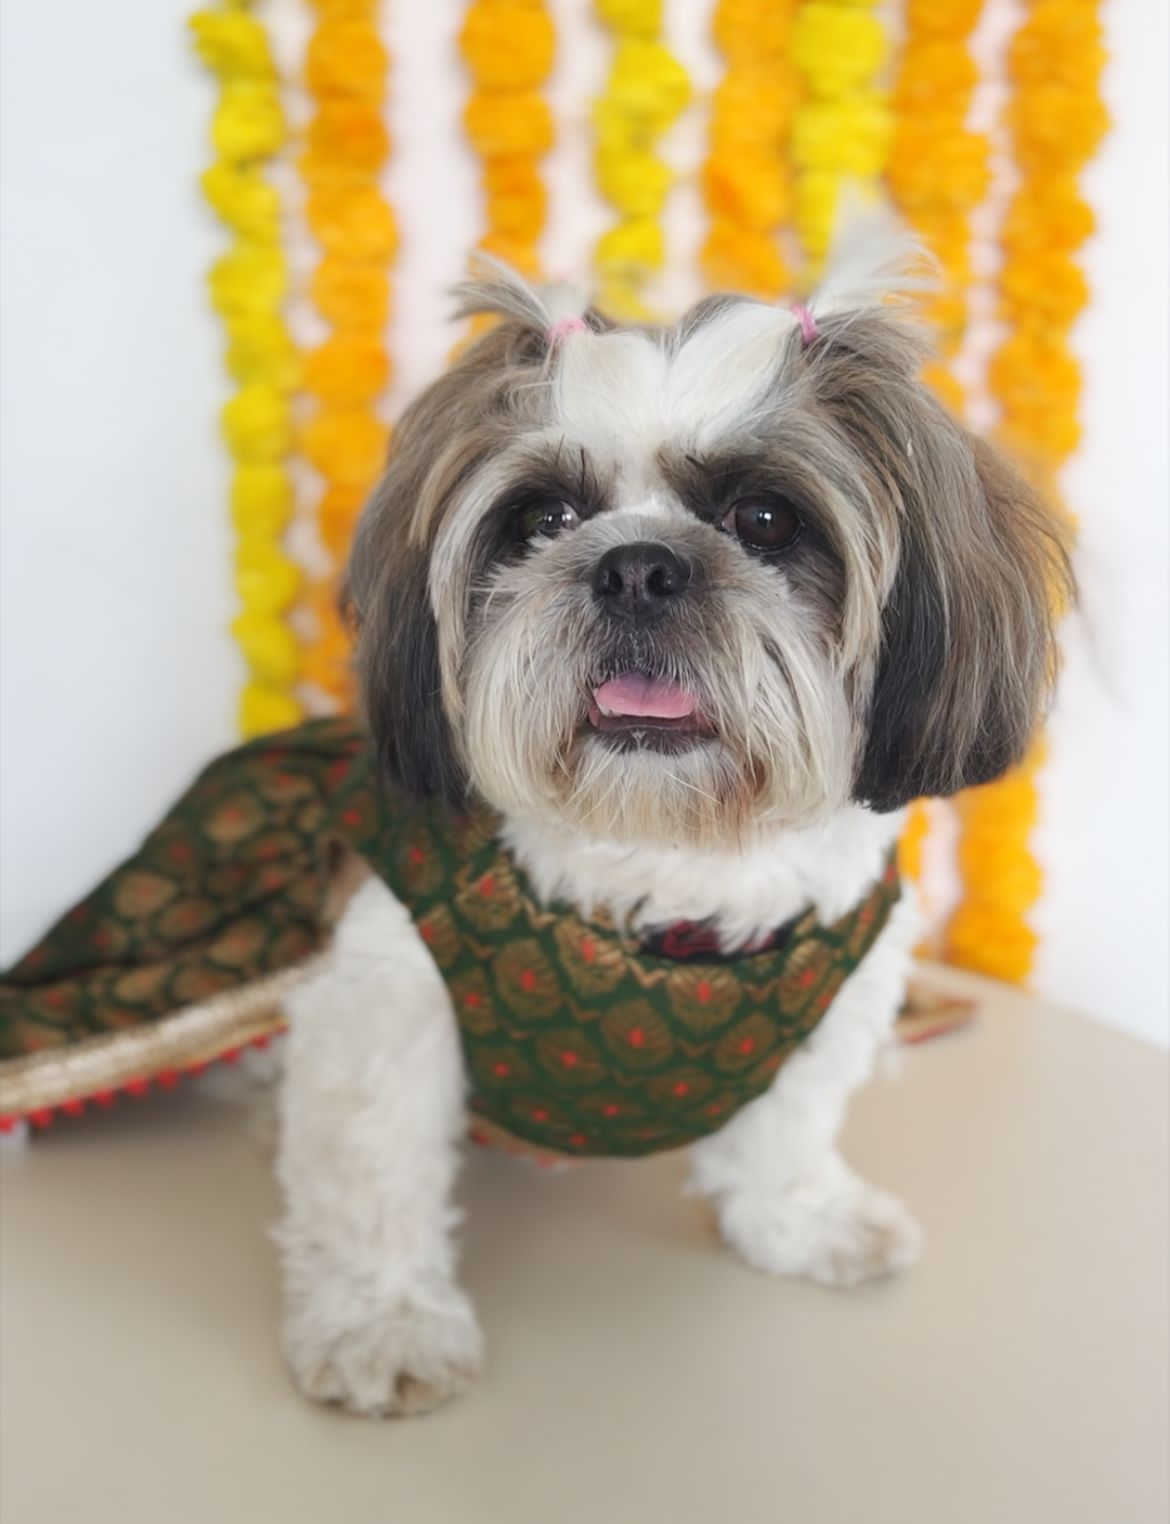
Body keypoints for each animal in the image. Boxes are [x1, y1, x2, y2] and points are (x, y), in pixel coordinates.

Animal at [271, 228, 1072, 1414]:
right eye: (543, 519)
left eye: (766, 519)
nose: (637, 564)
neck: (670, 868)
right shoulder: (385, 999)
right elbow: (375, 1173)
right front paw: (384, 1324)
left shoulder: (833, 991)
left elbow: (786, 1132)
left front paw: (802, 1220)